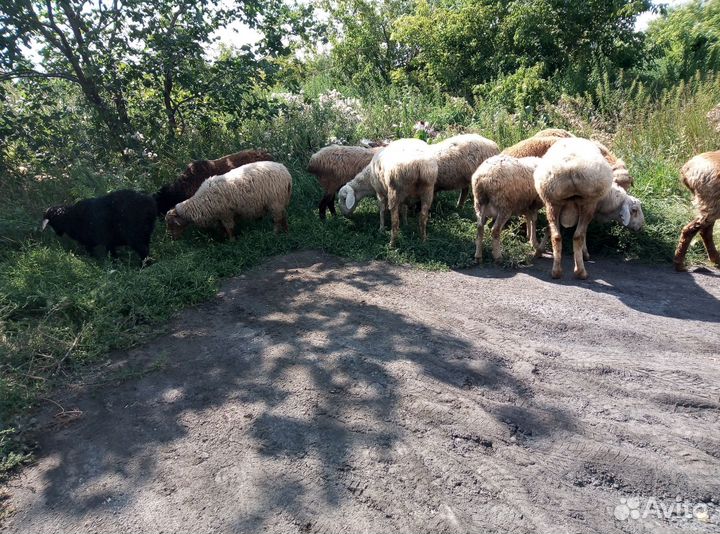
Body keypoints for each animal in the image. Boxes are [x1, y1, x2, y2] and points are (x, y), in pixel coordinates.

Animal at [534, 138, 614, 279]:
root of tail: (570, 168)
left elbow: (549, 230)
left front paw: (539, 251)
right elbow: (584, 233)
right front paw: (585, 254)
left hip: (552, 201)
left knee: (556, 236)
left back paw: (556, 271)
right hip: (588, 202)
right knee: (578, 236)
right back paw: (580, 272)